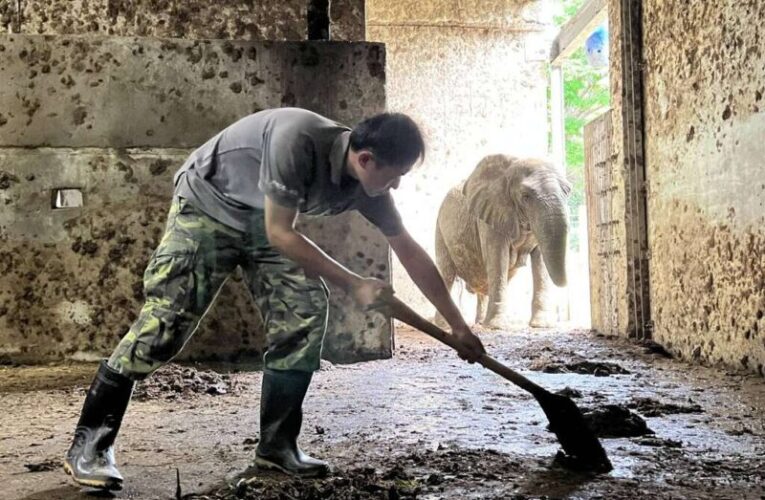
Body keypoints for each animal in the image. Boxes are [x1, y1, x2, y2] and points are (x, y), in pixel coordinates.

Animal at [435, 155, 571, 329]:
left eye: (568, 191)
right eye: (525, 196)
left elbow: (541, 261)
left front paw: (542, 325)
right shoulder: (489, 216)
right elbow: (498, 258)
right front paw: (497, 327)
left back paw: (480, 323)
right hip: (440, 231)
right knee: (446, 274)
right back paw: (443, 325)